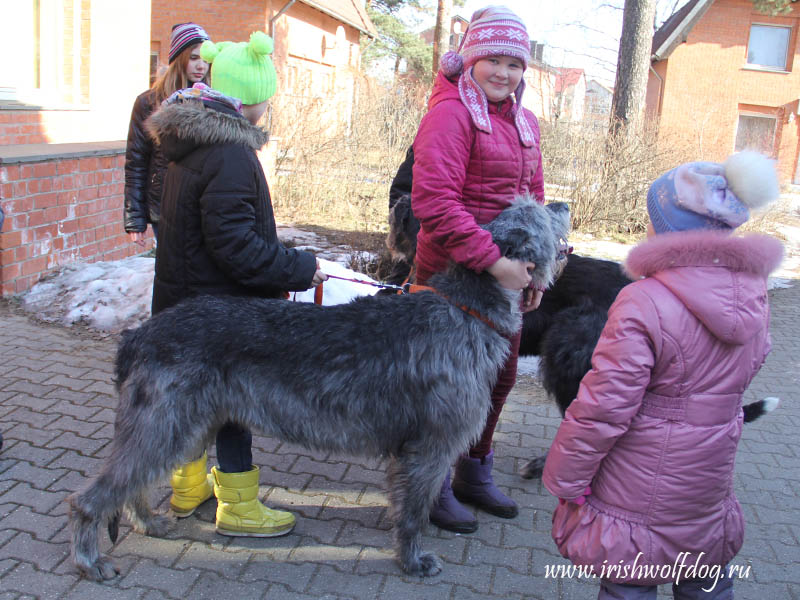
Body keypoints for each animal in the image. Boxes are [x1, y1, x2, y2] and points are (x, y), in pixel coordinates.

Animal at [67, 200, 568, 580]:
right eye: (536, 211)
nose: (562, 204)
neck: (465, 309)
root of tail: (139, 335)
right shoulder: (431, 444)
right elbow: (413, 511)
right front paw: (412, 560)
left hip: (183, 425)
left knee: (135, 481)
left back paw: (148, 520)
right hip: (163, 421)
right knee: (92, 496)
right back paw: (91, 559)